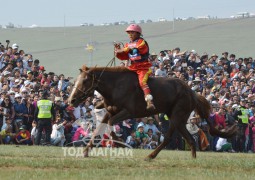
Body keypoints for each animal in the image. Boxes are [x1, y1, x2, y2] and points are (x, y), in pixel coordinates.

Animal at [68, 65, 237, 160]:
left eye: (84, 81)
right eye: (76, 80)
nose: (71, 100)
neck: (115, 86)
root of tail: (192, 92)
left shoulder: (128, 112)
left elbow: (110, 126)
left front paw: (120, 144)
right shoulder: (109, 112)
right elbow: (99, 130)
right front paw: (85, 151)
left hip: (177, 117)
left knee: (181, 138)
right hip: (176, 118)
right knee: (179, 138)